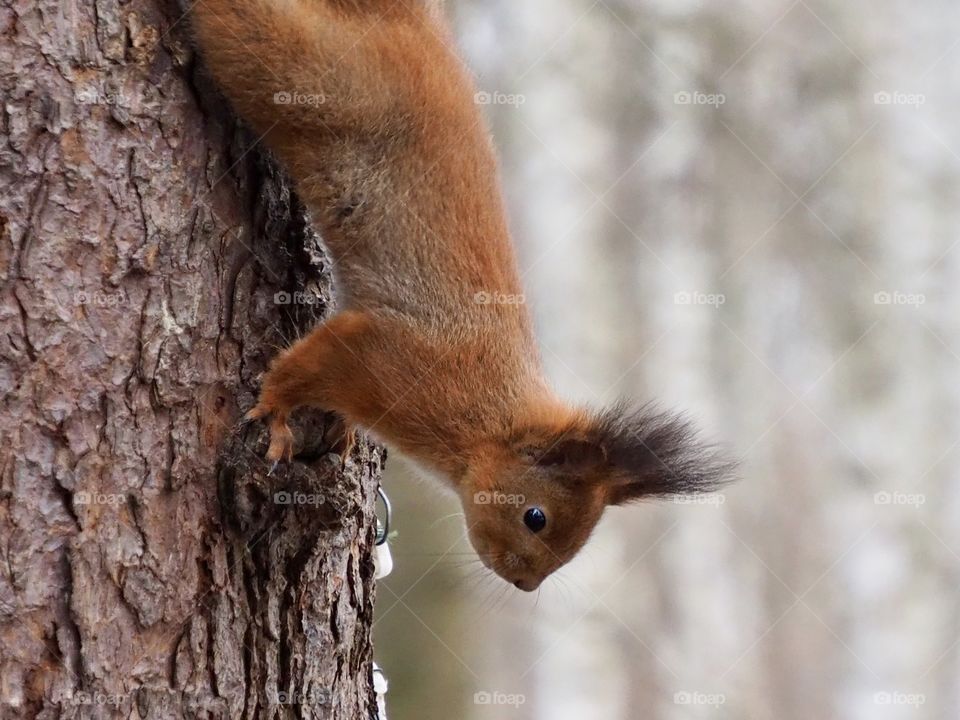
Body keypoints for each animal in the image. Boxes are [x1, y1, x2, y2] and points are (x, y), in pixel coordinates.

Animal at [191, 0, 733, 591]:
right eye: (536, 517)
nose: (525, 585)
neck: (488, 419)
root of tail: (412, 26)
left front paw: (342, 431)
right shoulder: (386, 360)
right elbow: (307, 365)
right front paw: (277, 407)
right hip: (310, 76)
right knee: (242, 26)